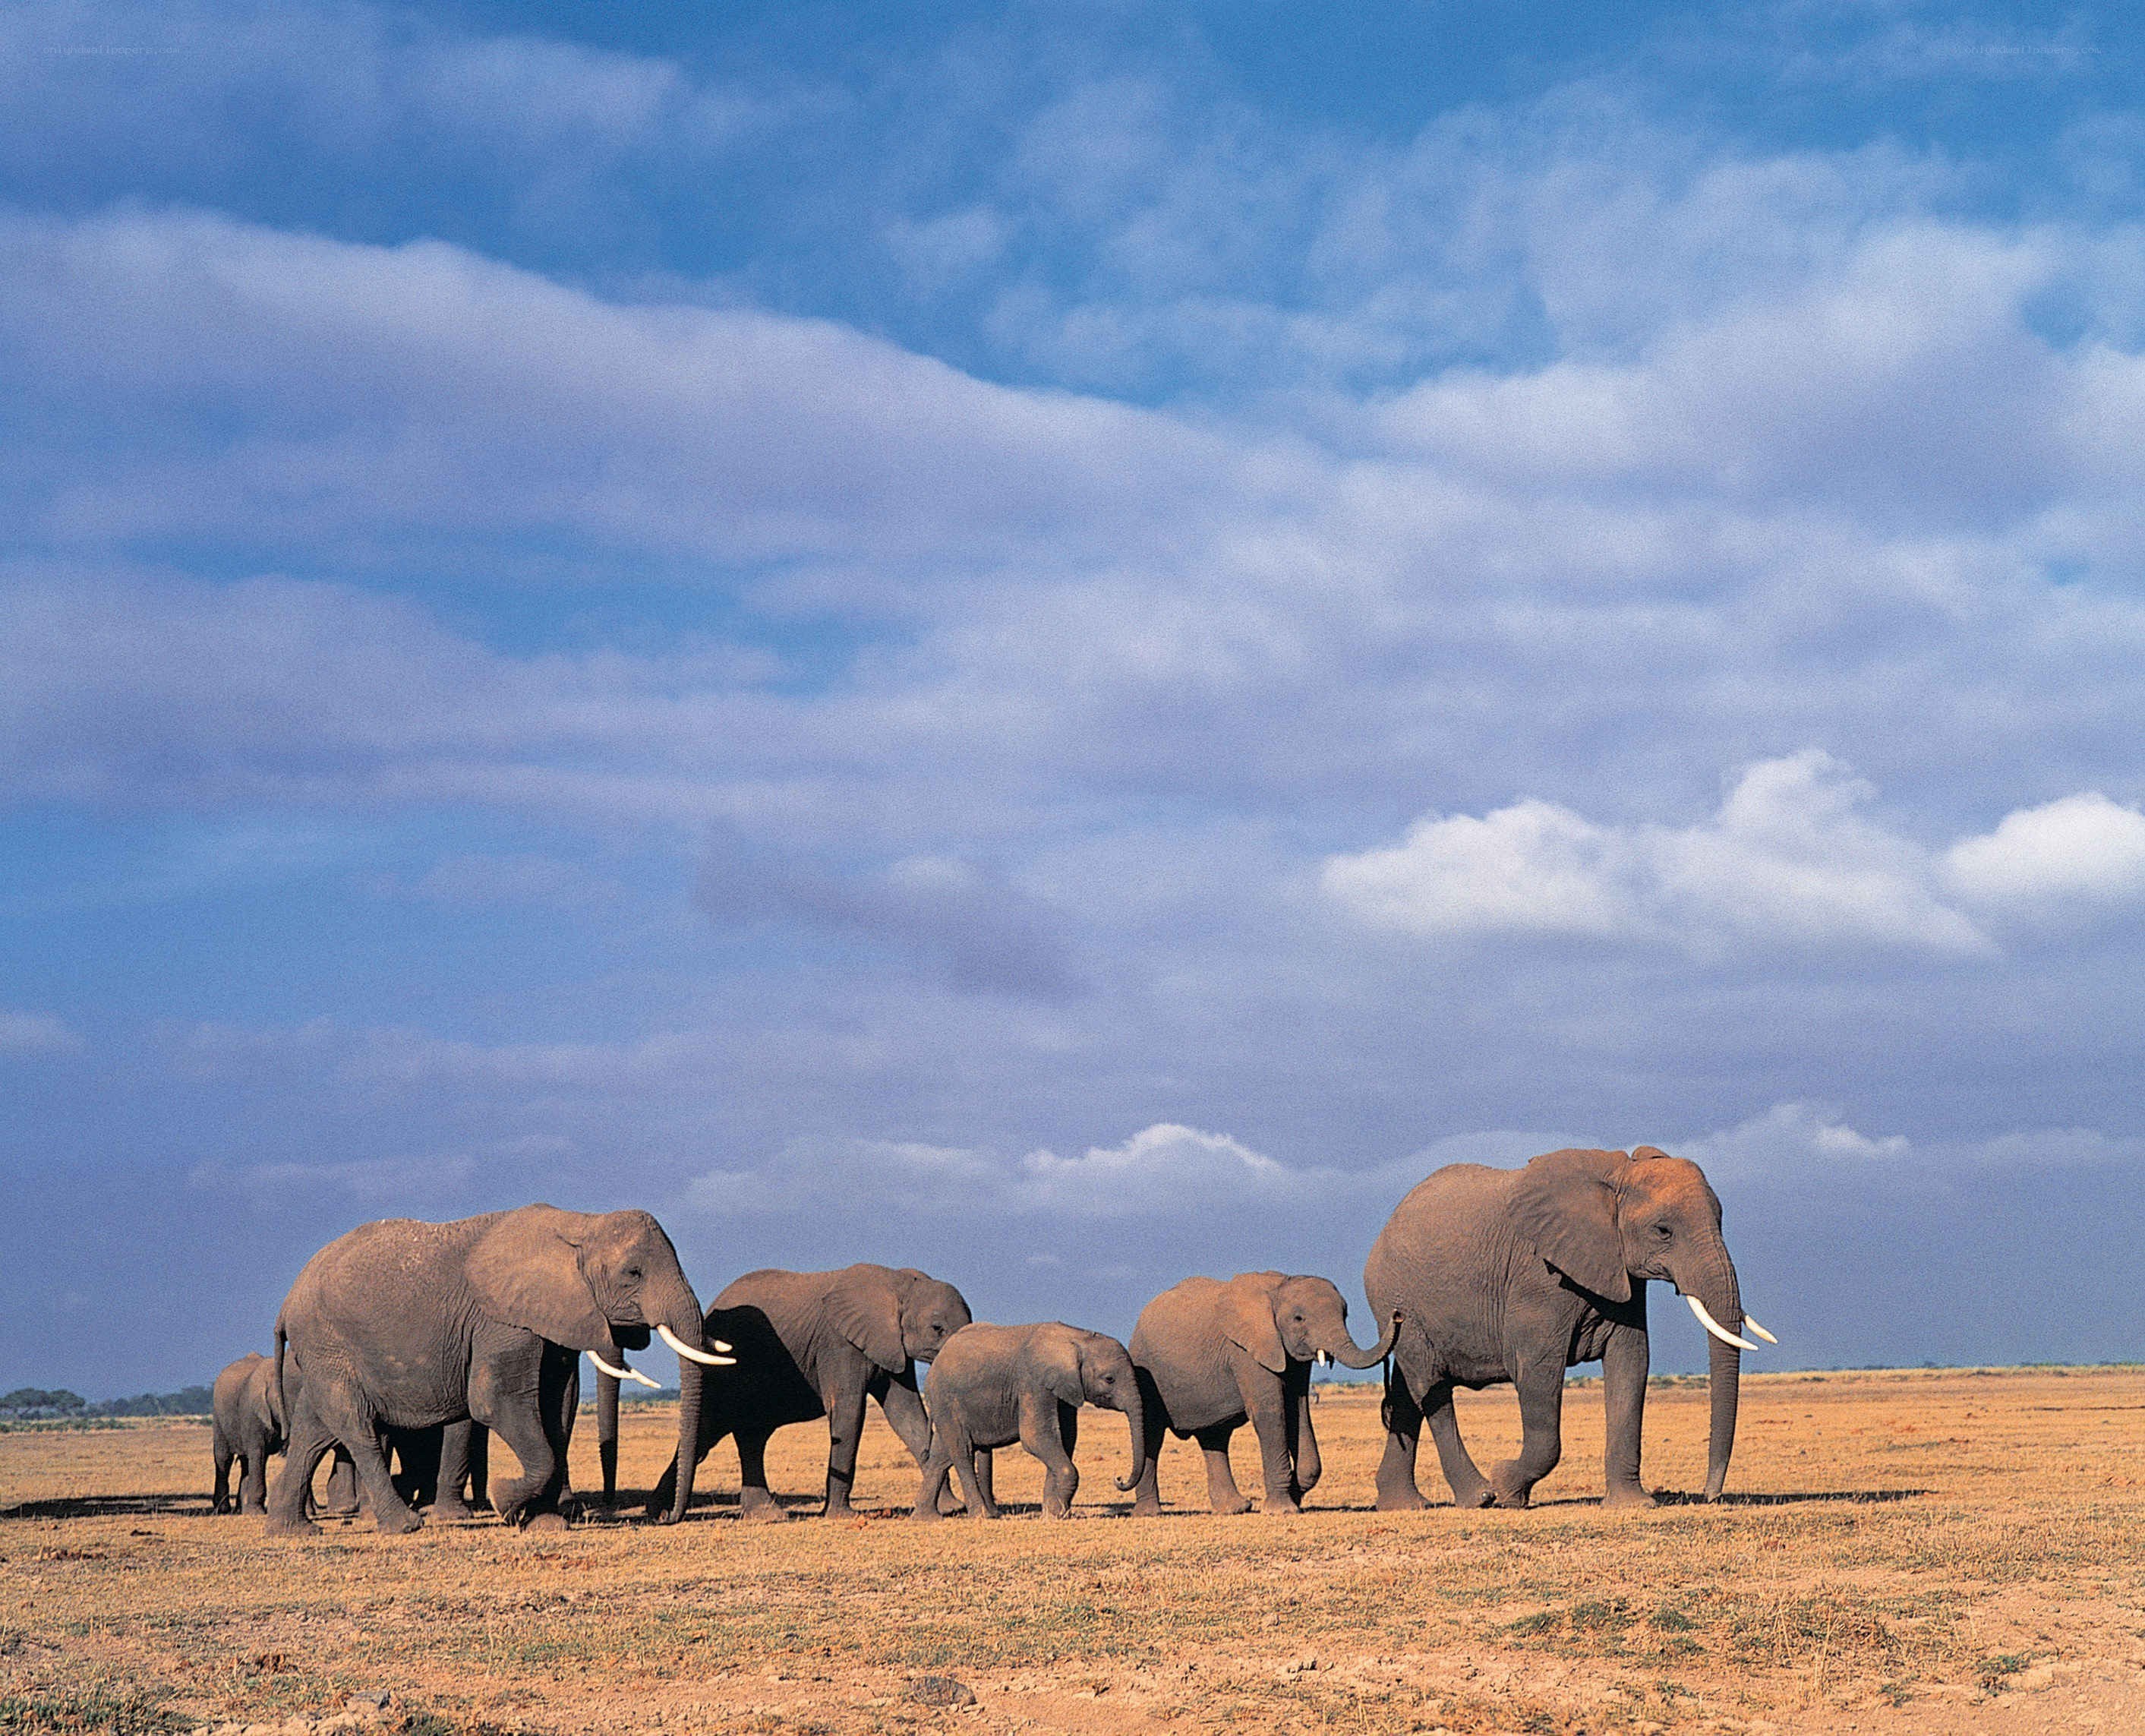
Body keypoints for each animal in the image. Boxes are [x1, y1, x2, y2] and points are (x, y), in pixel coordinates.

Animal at [266, 1203, 728, 1536]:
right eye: (633, 1273)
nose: (665, 1517)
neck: (579, 1225)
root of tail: (286, 1304)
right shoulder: (500, 1322)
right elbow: (495, 1400)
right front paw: (504, 1501)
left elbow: (558, 1407)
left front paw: (544, 1523)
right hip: (328, 1341)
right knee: (354, 1424)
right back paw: (404, 1526)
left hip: (324, 1351)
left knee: (313, 1428)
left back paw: (293, 1531)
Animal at [642, 1264, 971, 1523]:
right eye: (938, 1328)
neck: (900, 1284)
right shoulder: (839, 1345)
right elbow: (849, 1412)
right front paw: (841, 1516)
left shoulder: (891, 1348)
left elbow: (908, 1417)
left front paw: (951, 1508)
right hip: (722, 1372)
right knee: (711, 1431)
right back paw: (662, 1512)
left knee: (748, 1437)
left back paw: (758, 1514)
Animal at [912, 1323, 1146, 1521]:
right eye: (1109, 1379)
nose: (1119, 1479)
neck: (1077, 1338)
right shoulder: (1033, 1382)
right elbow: (1036, 1437)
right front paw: (1057, 1514)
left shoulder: (1063, 1388)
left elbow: (1066, 1438)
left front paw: (1052, 1513)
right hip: (946, 1400)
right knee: (963, 1451)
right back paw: (981, 1516)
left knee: (941, 1456)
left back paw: (926, 1518)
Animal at [1128, 1273, 1400, 1516]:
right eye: (1299, 1318)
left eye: (1345, 1314)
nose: (1397, 1315)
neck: (1279, 1288)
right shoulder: (1247, 1350)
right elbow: (1271, 1411)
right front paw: (1282, 1510)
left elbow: (1298, 1411)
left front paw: (1294, 1493)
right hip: (1145, 1371)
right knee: (1152, 1435)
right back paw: (1150, 1513)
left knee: (1214, 1437)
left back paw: (1235, 1509)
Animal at [1364, 1145, 1774, 1511]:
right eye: (1663, 1231)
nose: (1710, 1495)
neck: (1617, 1177)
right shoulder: (1537, 1278)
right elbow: (1537, 1371)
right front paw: (1508, 1488)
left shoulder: (1619, 1269)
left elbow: (1632, 1363)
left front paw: (1633, 1505)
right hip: (1398, 1301)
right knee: (1429, 1385)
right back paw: (1480, 1497)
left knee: (1407, 1391)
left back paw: (1405, 1506)